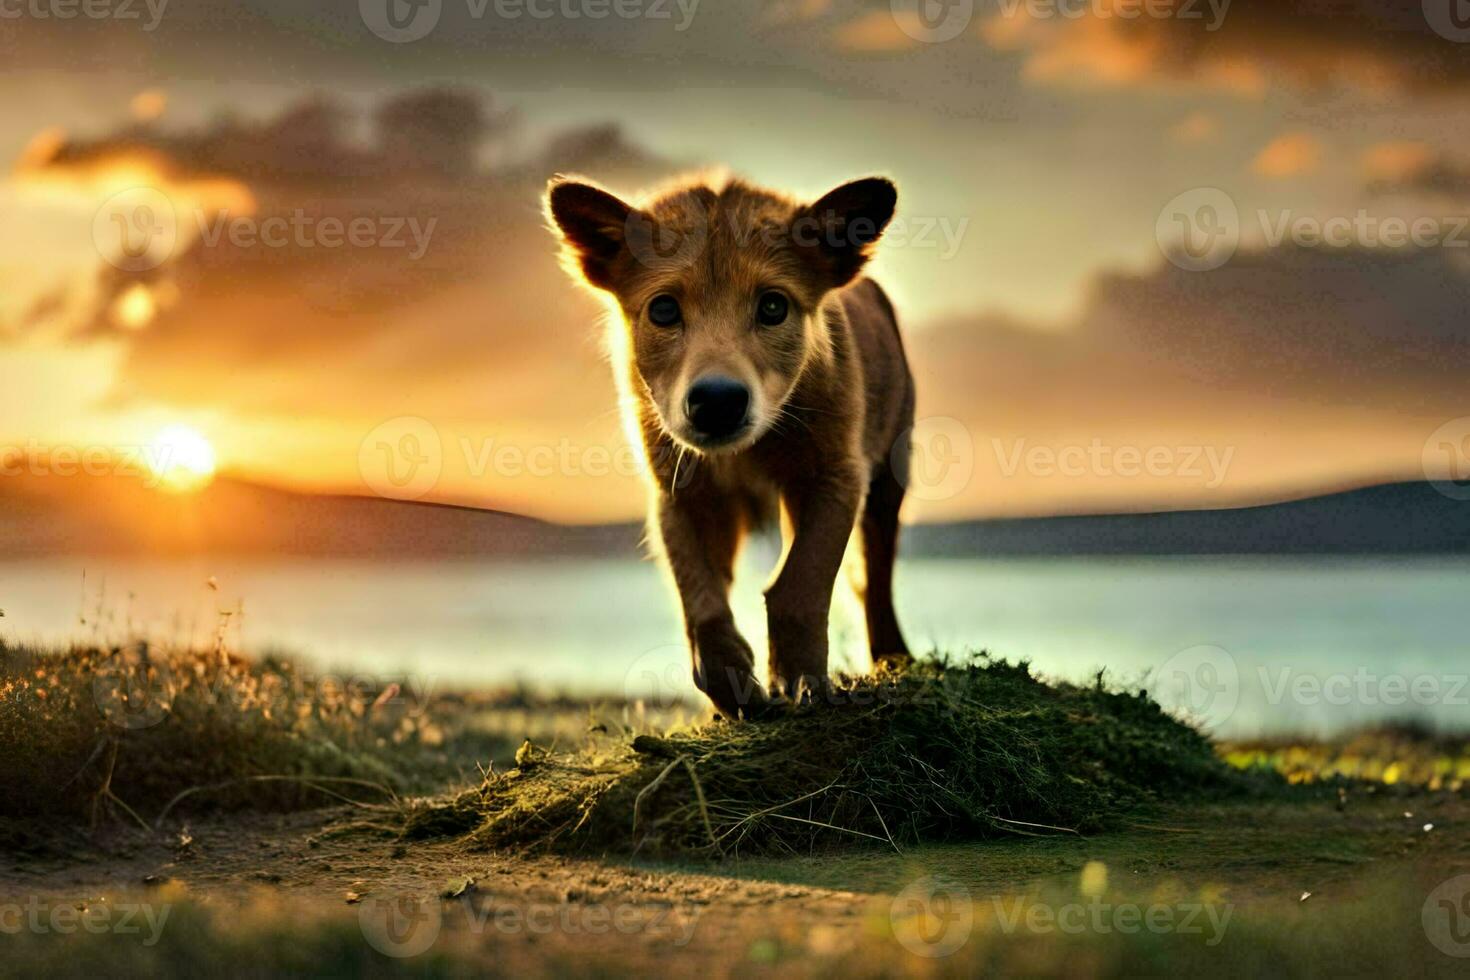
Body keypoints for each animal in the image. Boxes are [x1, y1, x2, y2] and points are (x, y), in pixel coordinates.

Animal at [546, 172, 911, 717]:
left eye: (774, 306)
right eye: (663, 309)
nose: (718, 401)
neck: (748, 451)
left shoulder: (836, 475)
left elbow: (801, 583)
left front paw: (804, 683)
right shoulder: (681, 494)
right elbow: (701, 601)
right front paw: (732, 689)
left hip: (890, 478)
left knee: (878, 579)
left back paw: (895, 658)